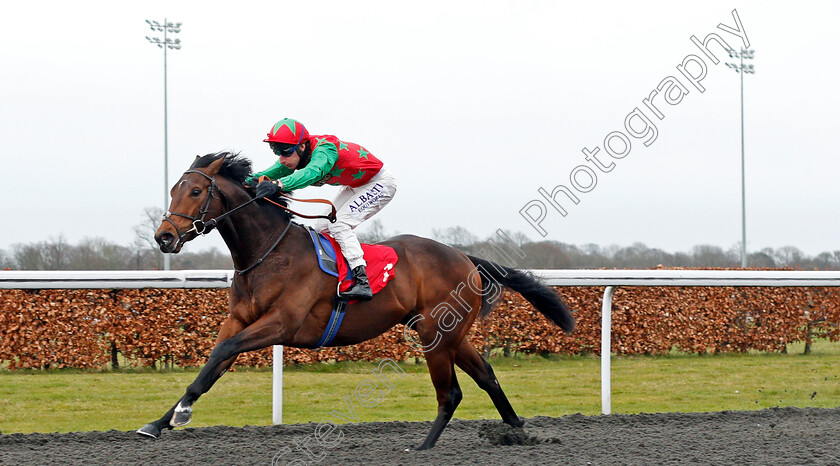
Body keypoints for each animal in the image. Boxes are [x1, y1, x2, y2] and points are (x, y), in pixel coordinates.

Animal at [138, 152, 576, 448]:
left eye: (196, 191)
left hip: (435, 335)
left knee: (450, 392)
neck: (268, 253)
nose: (164, 237)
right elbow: (213, 364)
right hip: (451, 333)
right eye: (174, 190)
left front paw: (180, 414)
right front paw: (160, 422)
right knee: (486, 375)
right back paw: (518, 430)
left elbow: (222, 352)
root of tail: (464, 257)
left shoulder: (281, 323)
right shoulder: (239, 321)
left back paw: (423, 446)